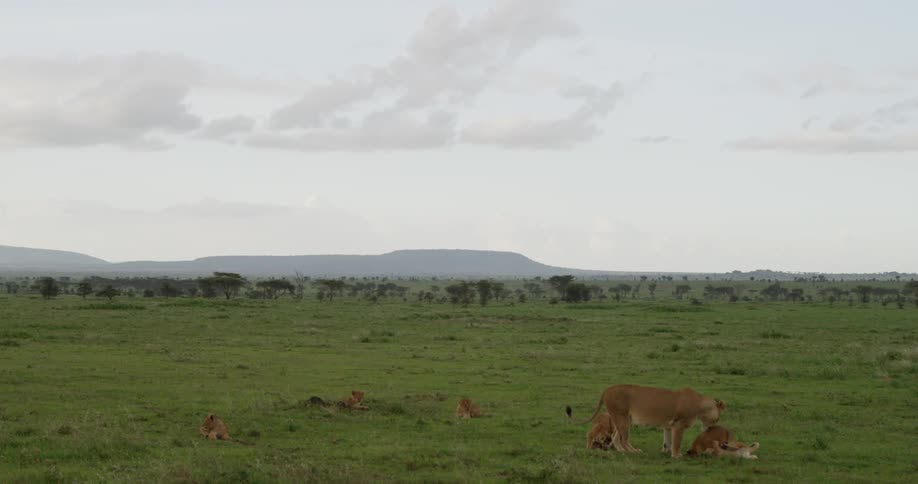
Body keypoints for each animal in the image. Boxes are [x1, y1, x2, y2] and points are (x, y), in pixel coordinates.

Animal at [567, 384, 726, 458]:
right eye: (717, 418)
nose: (710, 429)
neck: (700, 405)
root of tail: (607, 389)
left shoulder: (668, 426)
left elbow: (668, 440)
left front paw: (666, 451)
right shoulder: (678, 425)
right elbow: (676, 442)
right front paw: (676, 455)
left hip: (620, 419)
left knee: (616, 438)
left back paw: (624, 452)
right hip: (623, 419)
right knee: (624, 439)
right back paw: (634, 452)